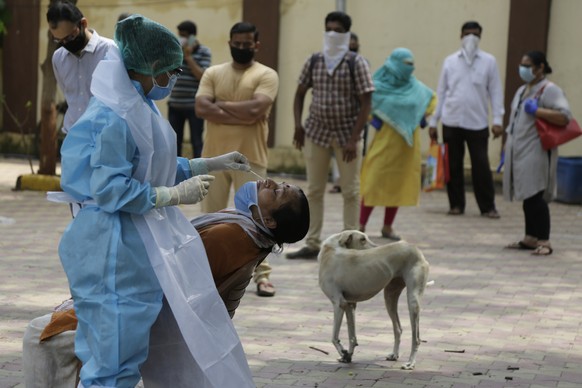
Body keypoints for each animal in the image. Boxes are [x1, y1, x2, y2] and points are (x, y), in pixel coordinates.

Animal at [320, 230, 428, 370]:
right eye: (362, 239)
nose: (377, 247)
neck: (330, 249)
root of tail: (416, 249)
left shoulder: (339, 304)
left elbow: (334, 337)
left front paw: (343, 352)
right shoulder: (350, 305)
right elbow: (352, 337)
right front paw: (347, 355)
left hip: (413, 302)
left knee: (416, 338)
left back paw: (410, 363)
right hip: (390, 298)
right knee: (398, 329)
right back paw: (394, 355)